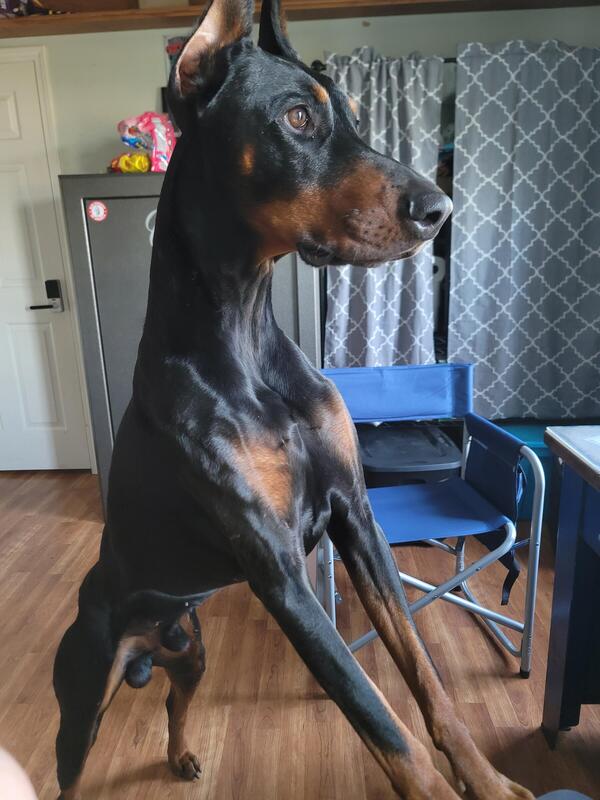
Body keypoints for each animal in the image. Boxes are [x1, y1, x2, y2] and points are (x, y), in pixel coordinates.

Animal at [53, 2, 535, 799]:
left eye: (354, 117)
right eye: (299, 118)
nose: (439, 207)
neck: (246, 337)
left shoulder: (356, 516)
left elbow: (427, 680)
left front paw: (489, 783)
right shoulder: (279, 571)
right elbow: (382, 723)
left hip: (190, 650)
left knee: (176, 703)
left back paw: (182, 754)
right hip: (84, 694)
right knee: (71, 761)